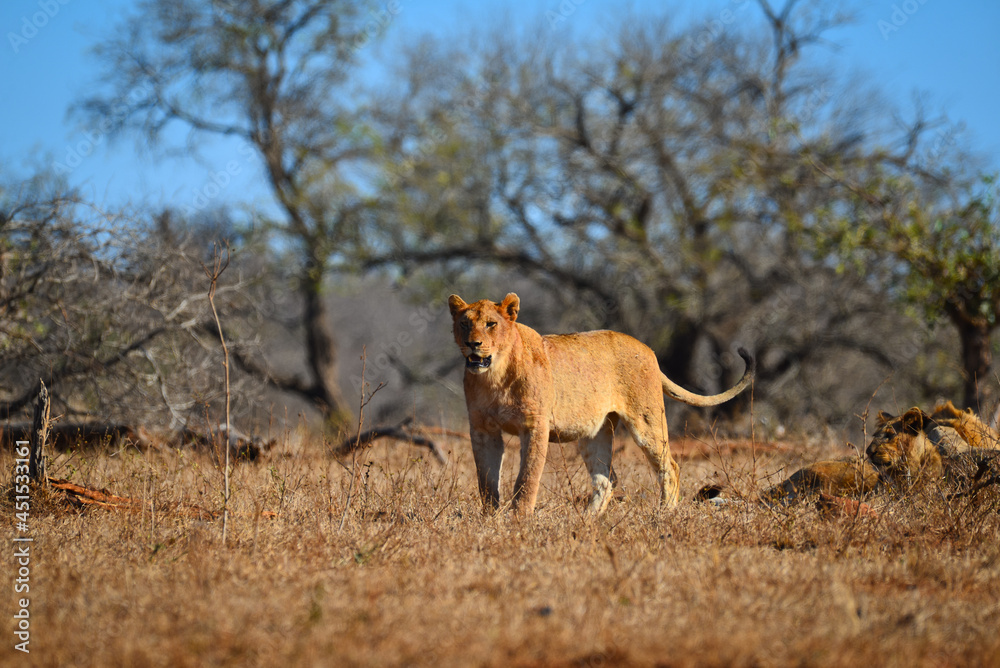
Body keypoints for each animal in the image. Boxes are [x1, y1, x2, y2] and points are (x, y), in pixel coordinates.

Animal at [448, 292, 755, 516]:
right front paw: (490, 519)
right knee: (607, 480)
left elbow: (527, 478)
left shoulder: (535, 427)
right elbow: (486, 479)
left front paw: (519, 519)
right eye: (465, 324)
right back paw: (586, 521)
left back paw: (664, 513)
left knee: (670, 465)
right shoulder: (482, 429)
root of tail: (647, 348)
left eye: (491, 324)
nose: (473, 344)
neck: (494, 377)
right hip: (594, 433)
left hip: (646, 422)